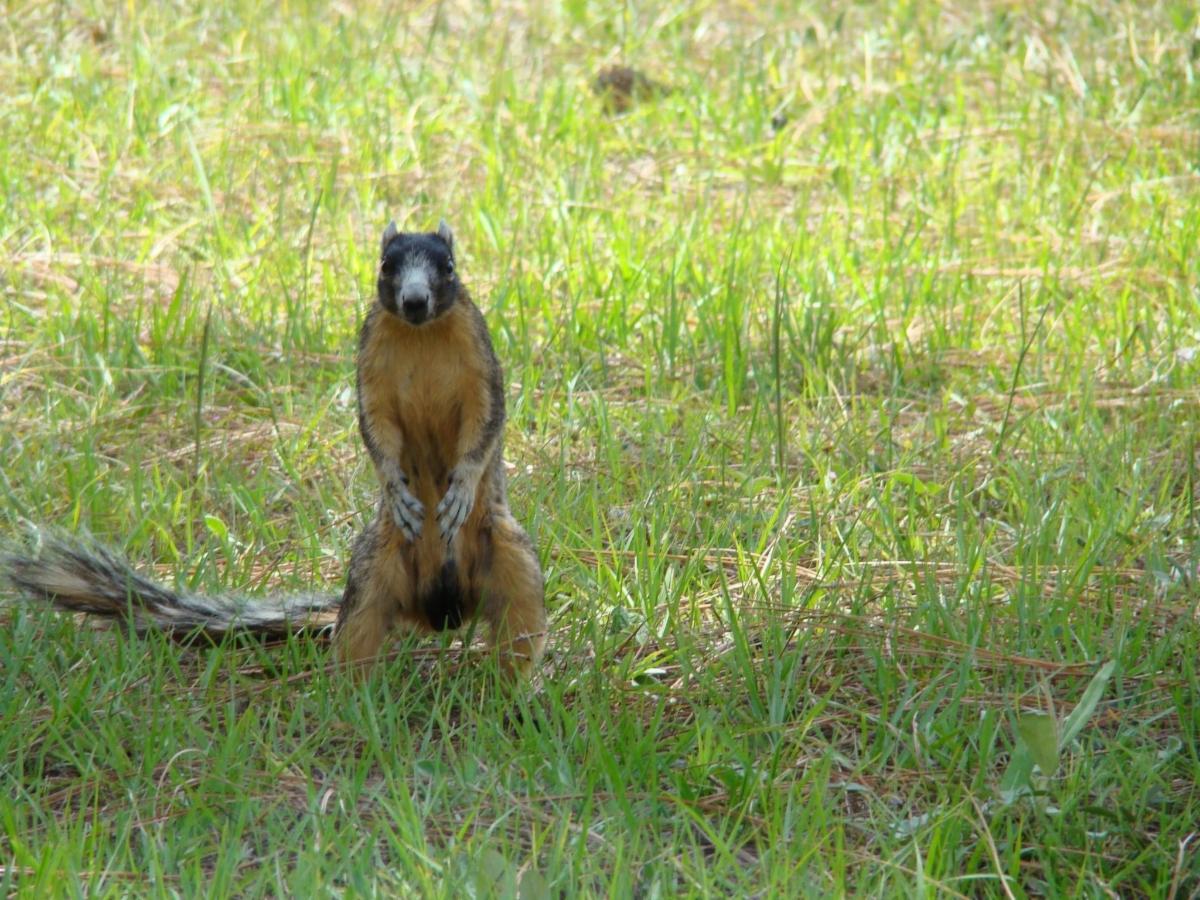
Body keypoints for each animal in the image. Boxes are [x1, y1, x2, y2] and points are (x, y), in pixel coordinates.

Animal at [2, 220, 547, 678]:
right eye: (385, 265)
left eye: (449, 267)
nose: (414, 300)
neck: (422, 334)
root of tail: (440, 614)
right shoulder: (370, 369)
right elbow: (376, 432)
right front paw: (396, 489)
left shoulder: (481, 364)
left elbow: (484, 425)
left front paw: (458, 491)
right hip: (372, 573)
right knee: (357, 638)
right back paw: (353, 698)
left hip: (513, 561)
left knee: (518, 634)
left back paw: (517, 691)